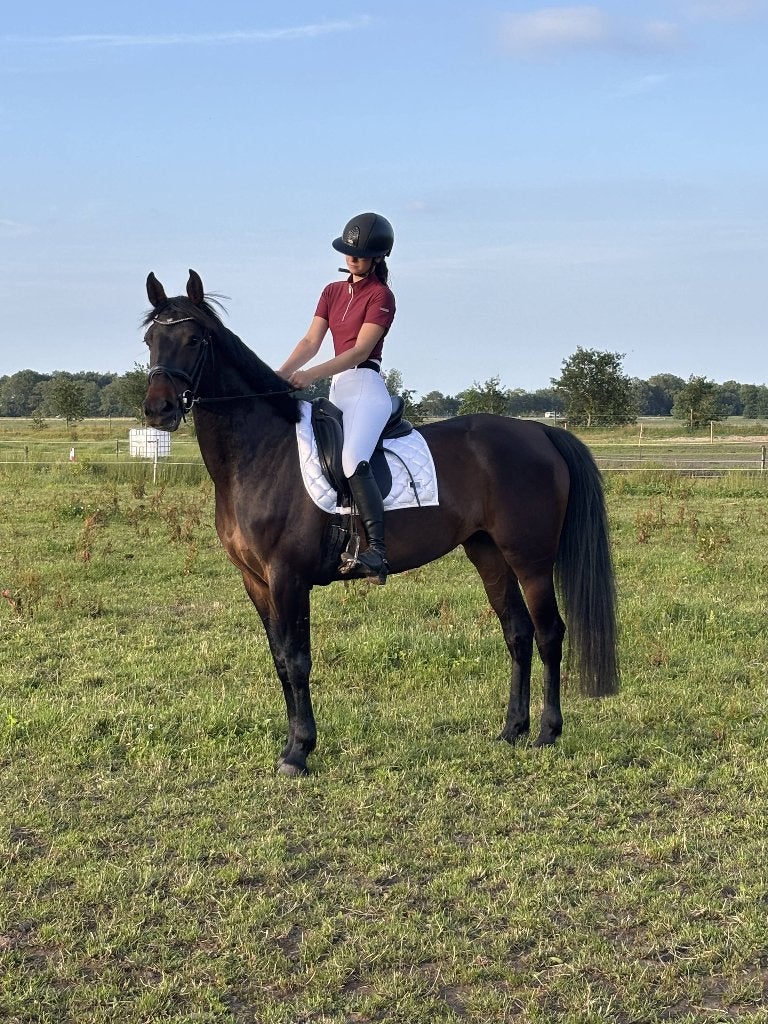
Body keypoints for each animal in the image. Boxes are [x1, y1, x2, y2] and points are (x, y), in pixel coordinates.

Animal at [142, 269, 619, 776]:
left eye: (194, 339)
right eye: (151, 339)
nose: (158, 409)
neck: (262, 453)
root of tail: (539, 431)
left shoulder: (288, 576)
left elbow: (297, 659)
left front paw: (298, 752)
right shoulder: (256, 579)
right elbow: (279, 661)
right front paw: (292, 747)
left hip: (529, 557)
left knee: (549, 633)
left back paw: (547, 732)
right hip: (487, 551)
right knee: (518, 633)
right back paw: (512, 730)